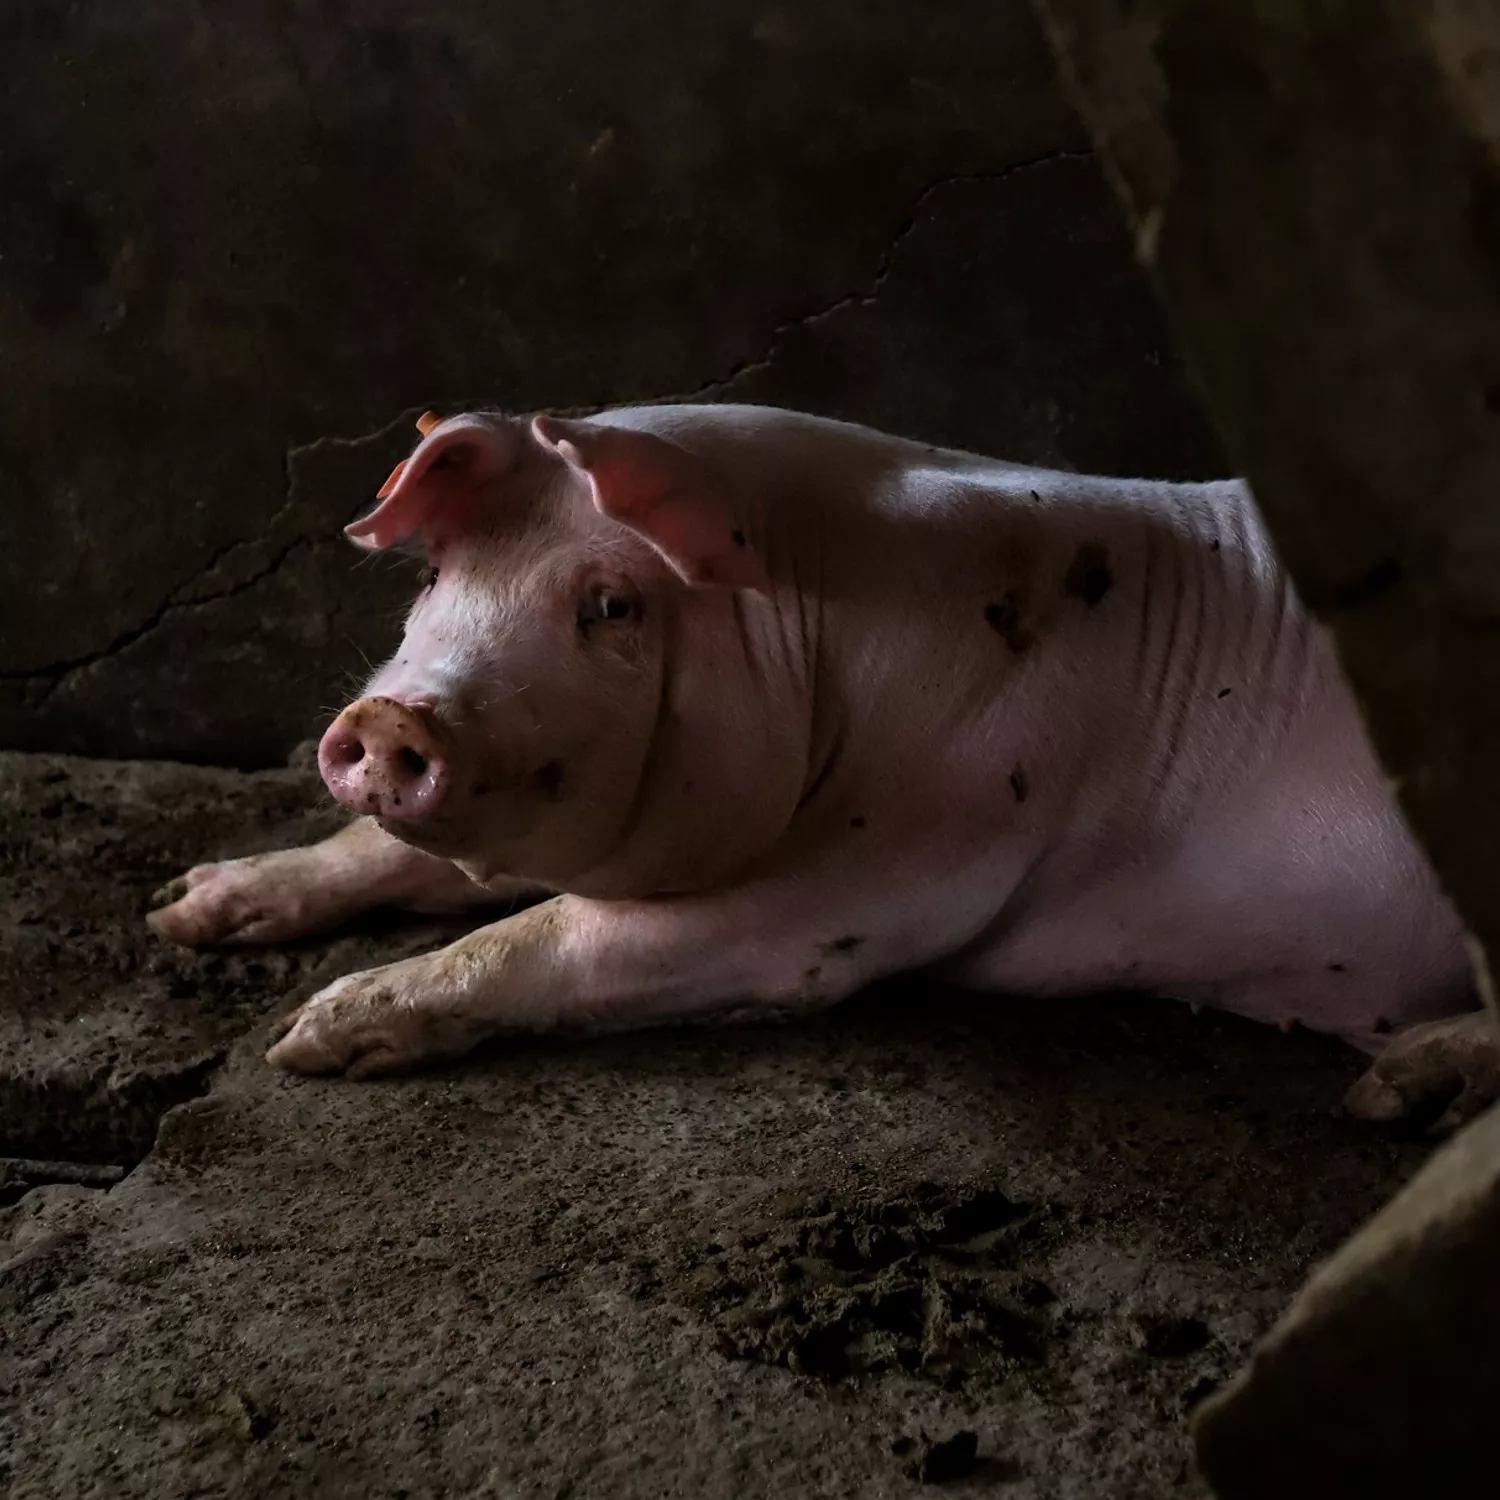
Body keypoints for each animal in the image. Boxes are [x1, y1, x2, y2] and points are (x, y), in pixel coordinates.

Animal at [149, 402, 1500, 1128]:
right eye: (438, 575)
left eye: (612, 604)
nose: (394, 718)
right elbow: (392, 855)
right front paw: (184, 909)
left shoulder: (881, 881)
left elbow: (554, 932)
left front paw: (309, 1040)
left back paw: (1392, 1089)